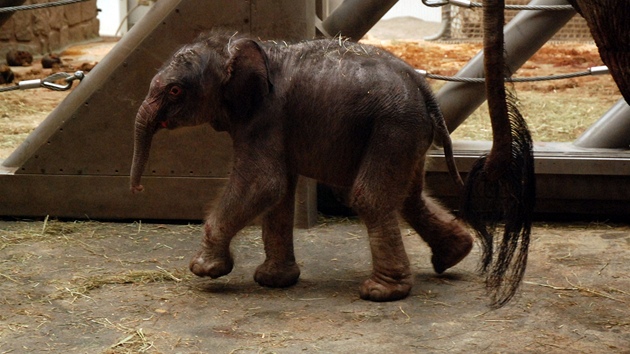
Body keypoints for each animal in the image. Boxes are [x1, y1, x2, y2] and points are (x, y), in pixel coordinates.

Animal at [130, 31, 474, 302]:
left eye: (175, 90)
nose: (139, 187)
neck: (241, 45)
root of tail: (424, 88)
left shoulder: (265, 117)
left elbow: (263, 183)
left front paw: (204, 269)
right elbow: (279, 195)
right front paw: (272, 280)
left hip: (393, 127)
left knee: (368, 198)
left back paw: (380, 292)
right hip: (406, 132)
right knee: (408, 197)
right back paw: (455, 255)